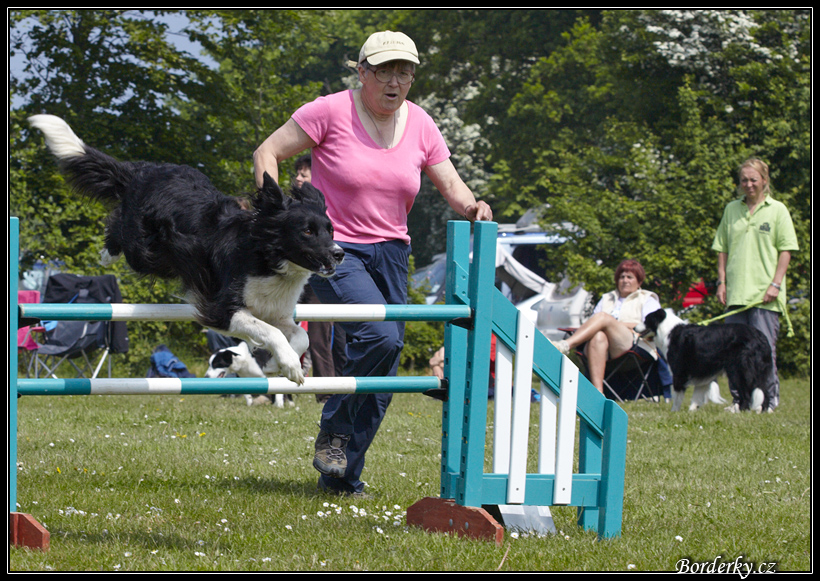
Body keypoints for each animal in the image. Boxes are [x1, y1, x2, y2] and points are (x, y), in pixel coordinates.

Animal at [30, 115, 344, 382]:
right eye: (307, 231)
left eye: (330, 230)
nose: (339, 253)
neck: (268, 258)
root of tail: (142, 171)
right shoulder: (221, 309)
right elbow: (271, 332)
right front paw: (288, 365)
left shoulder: (276, 311)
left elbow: (298, 336)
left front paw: (273, 364)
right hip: (145, 250)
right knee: (119, 229)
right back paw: (108, 253)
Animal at [636, 308, 772, 412]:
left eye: (646, 319)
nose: (634, 327)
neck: (668, 330)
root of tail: (760, 336)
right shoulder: (702, 374)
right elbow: (697, 396)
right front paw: (692, 412)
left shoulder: (679, 372)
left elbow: (677, 395)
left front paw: (674, 412)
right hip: (759, 371)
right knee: (765, 391)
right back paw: (762, 411)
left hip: (738, 370)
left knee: (747, 394)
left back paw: (738, 411)